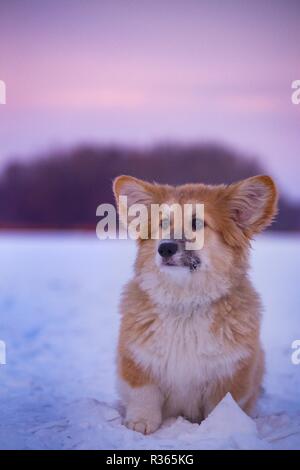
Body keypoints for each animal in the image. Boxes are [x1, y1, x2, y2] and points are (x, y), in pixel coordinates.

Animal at [113, 173, 278, 434]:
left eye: (197, 223)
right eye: (163, 222)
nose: (165, 248)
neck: (186, 303)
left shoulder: (230, 374)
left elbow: (222, 405)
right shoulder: (138, 361)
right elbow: (144, 395)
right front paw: (140, 423)